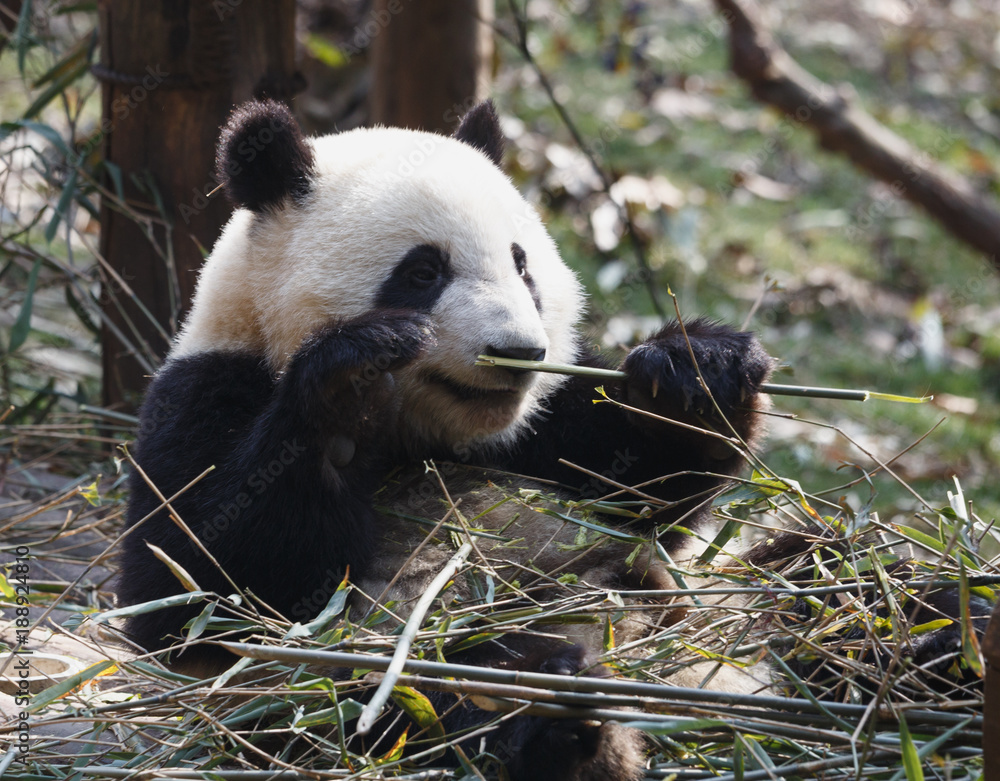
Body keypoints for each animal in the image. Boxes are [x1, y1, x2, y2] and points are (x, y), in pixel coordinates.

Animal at [115, 98, 776, 780]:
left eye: (521, 264)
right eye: (423, 271)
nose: (519, 352)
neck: (434, 439)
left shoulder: (545, 423)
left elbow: (641, 490)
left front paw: (697, 374)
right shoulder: (204, 394)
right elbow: (197, 593)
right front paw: (349, 390)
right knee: (418, 695)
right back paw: (555, 719)